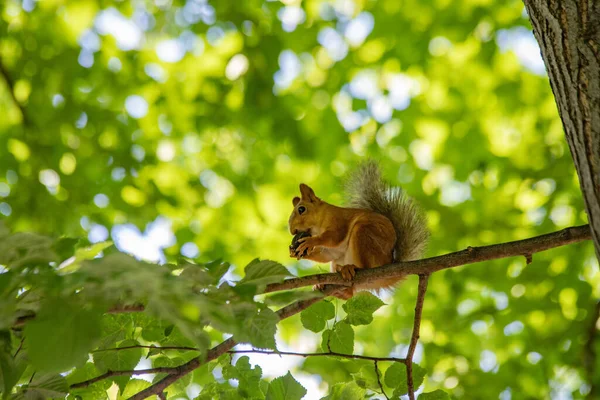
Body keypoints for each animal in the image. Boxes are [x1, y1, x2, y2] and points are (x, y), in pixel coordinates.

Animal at [288, 161, 428, 298]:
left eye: (301, 209)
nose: (292, 231)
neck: (319, 224)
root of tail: (389, 266)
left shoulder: (339, 221)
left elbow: (334, 237)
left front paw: (310, 242)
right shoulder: (332, 251)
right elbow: (327, 254)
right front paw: (295, 251)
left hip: (364, 236)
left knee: (365, 267)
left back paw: (350, 268)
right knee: (349, 293)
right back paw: (330, 286)